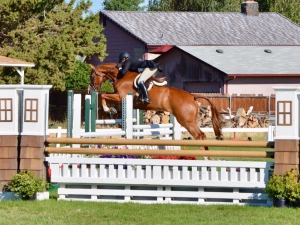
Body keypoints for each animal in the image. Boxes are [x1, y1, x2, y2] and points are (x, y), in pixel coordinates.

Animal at [87, 62, 223, 145]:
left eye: (91, 76)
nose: (90, 90)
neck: (121, 75)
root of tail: (192, 96)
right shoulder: (119, 96)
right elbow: (105, 95)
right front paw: (112, 110)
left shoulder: (121, 97)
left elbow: (103, 95)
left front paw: (107, 109)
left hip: (186, 121)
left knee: (200, 135)